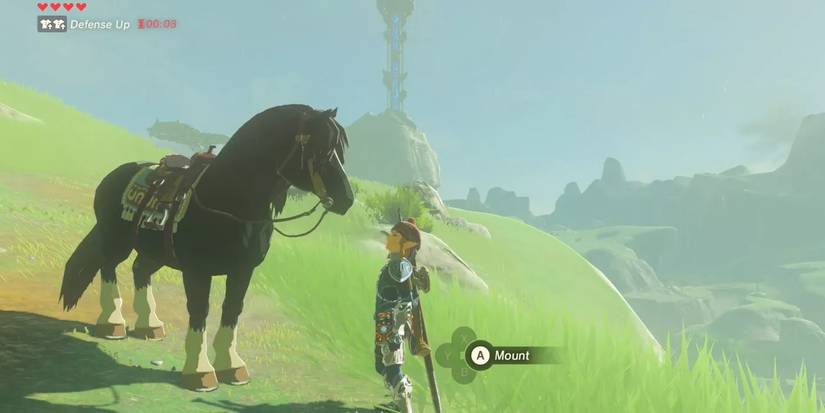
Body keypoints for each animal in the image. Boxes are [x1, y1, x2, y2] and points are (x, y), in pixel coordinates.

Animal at [59, 104, 354, 391]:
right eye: (322, 149)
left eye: (339, 152)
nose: (347, 199)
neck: (226, 201)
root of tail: (114, 174)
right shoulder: (197, 271)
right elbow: (200, 311)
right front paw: (200, 371)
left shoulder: (242, 270)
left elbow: (232, 309)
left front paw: (232, 367)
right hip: (116, 241)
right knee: (108, 267)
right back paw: (113, 323)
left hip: (155, 252)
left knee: (139, 269)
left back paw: (149, 325)